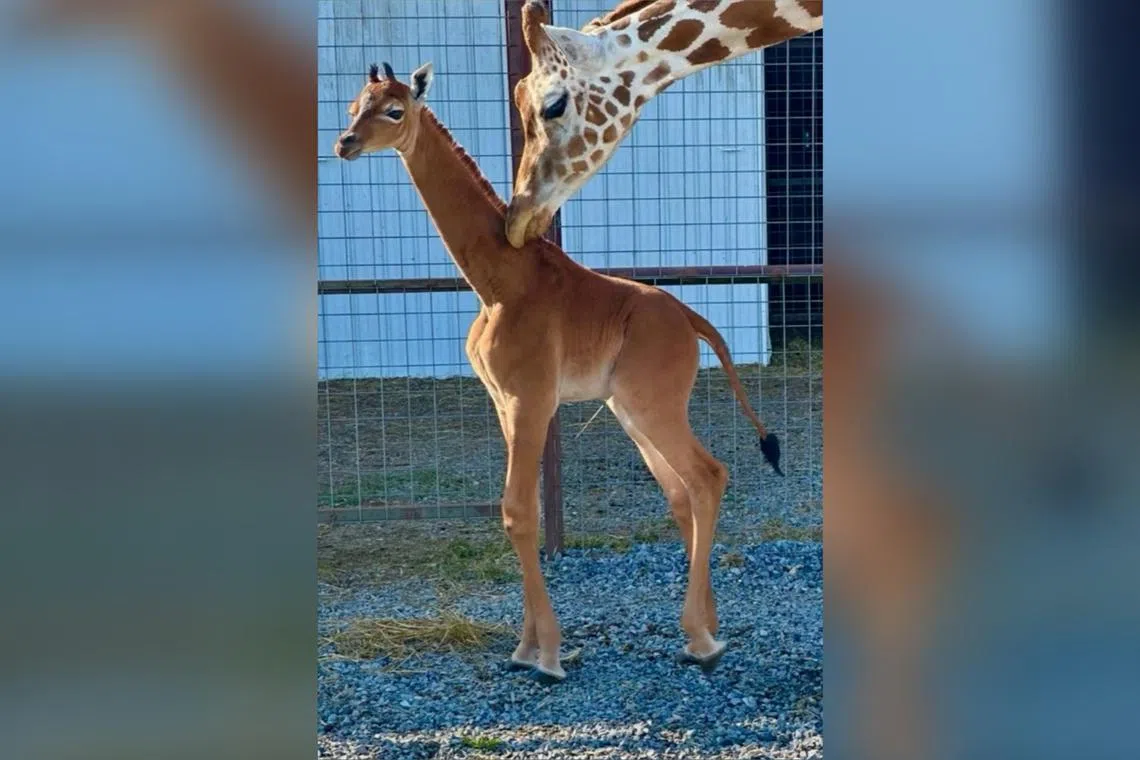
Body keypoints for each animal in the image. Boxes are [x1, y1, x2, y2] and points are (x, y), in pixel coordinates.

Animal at [334, 62, 782, 682]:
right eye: (354, 105)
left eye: (395, 110)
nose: (345, 143)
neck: (497, 281)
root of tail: (693, 320)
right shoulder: (504, 402)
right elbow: (521, 512)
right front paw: (525, 647)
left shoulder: (532, 399)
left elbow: (518, 511)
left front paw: (545, 654)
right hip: (630, 410)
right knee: (681, 489)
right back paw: (708, 629)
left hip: (653, 403)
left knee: (707, 475)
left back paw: (701, 639)